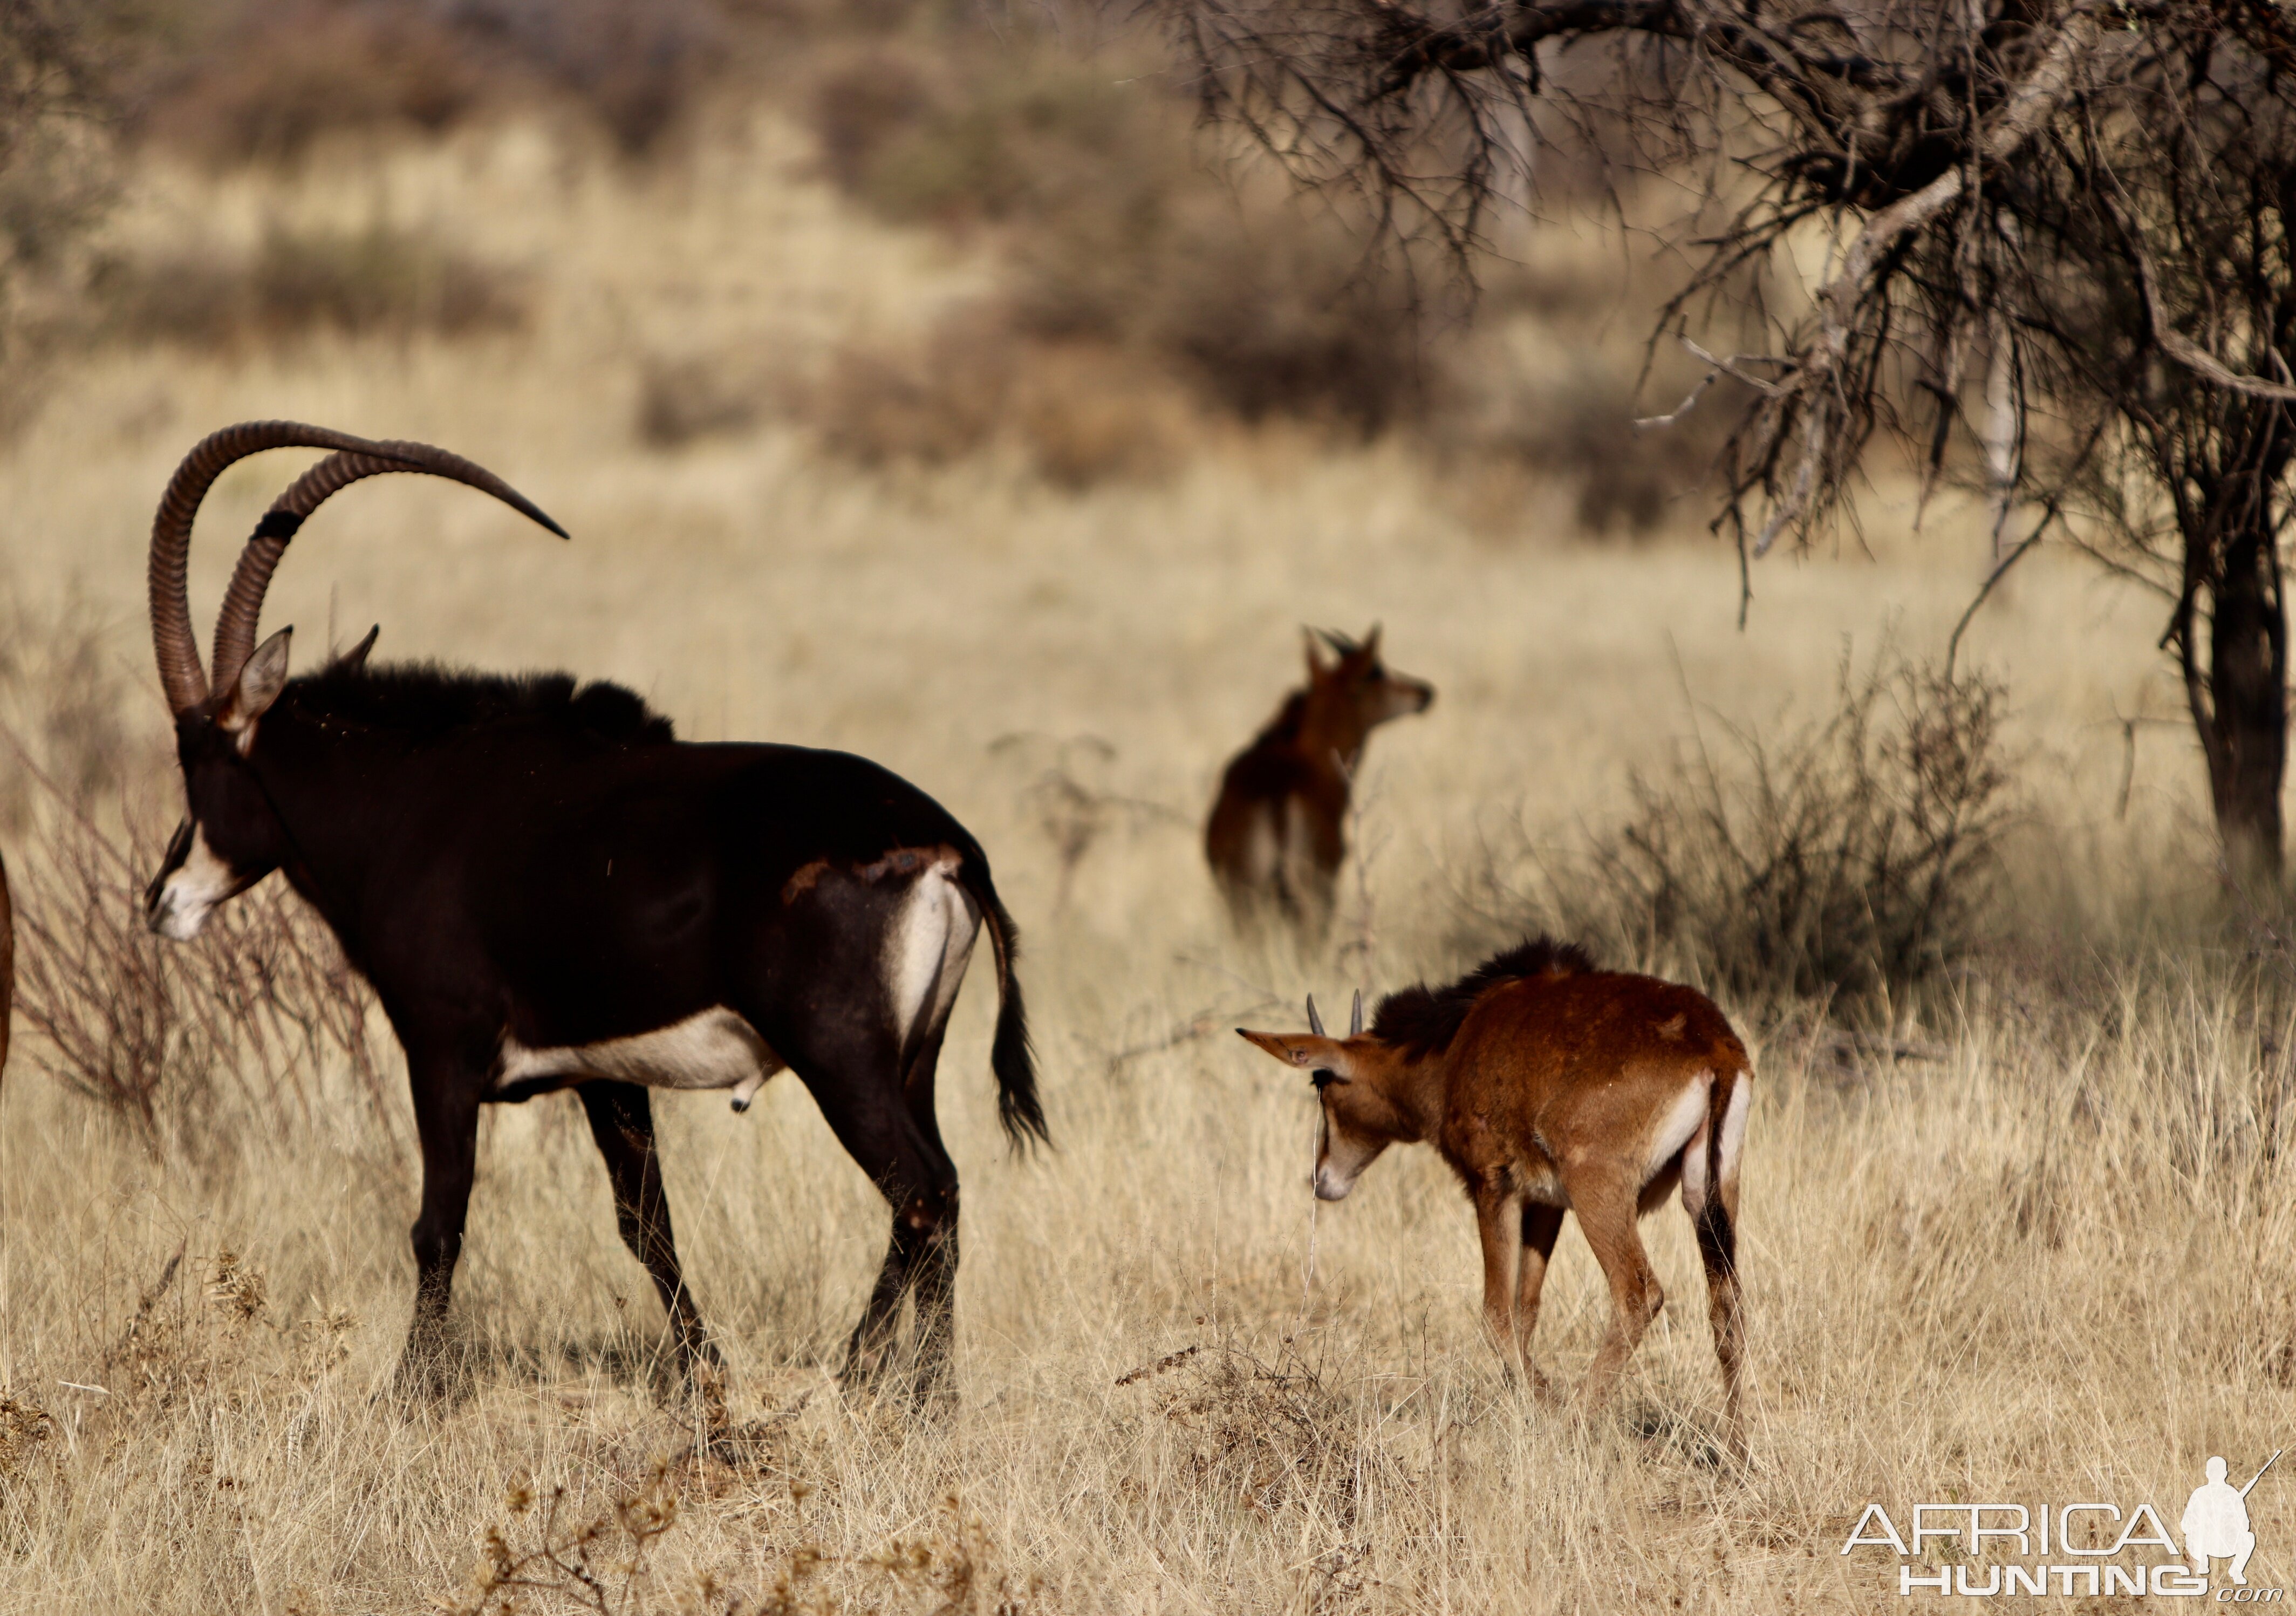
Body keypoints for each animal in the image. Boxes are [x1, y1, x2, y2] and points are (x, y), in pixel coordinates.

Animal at [139, 422, 1047, 1404]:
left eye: (198, 758)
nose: (162, 901)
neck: (409, 795)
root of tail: (946, 843)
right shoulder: (606, 1076)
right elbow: (645, 1224)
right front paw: (702, 1373)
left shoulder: (443, 1048)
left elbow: (439, 1221)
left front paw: (412, 1392)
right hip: (911, 1061)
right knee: (934, 1195)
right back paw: (902, 1384)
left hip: (838, 1056)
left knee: (920, 1191)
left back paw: (893, 1387)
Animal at [1240, 936, 1754, 1450]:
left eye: (1322, 1087)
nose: (1322, 1178)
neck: (1451, 1046)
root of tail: (1715, 1048)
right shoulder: (1545, 1202)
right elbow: (1525, 1310)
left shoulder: (1491, 1184)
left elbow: (1496, 1313)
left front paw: (1544, 1403)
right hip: (1708, 1192)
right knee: (1727, 1306)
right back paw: (1736, 1448)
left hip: (1598, 1190)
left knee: (1638, 1292)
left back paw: (1572, 1425)